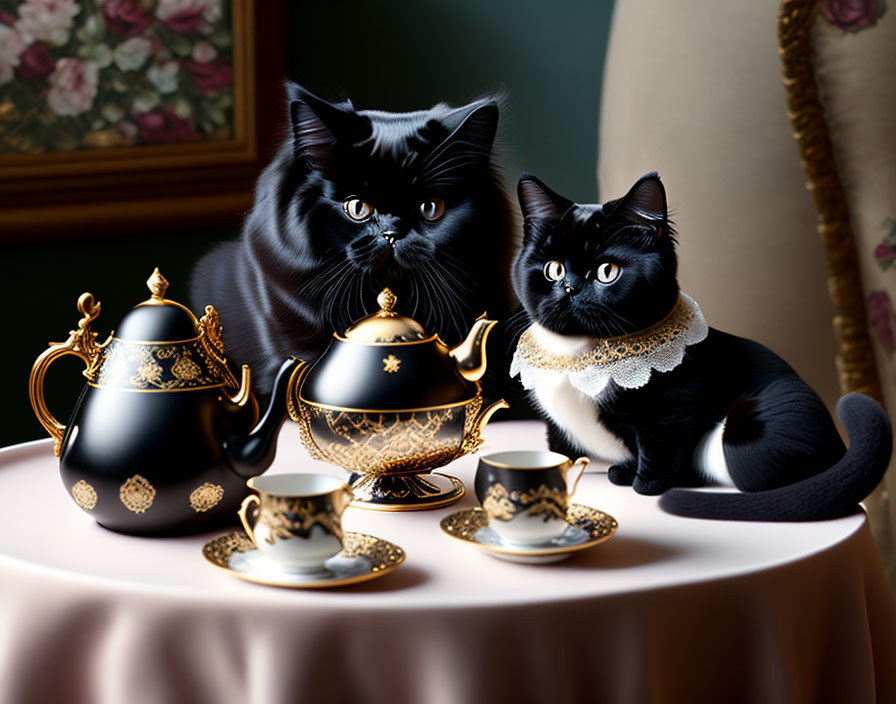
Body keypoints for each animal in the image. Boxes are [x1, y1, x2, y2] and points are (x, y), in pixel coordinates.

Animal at [512, 173, 888, 520]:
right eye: (553, 269)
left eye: (608, 271)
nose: (570, 288)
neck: (580, 354)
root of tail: (837, 448)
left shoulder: (673, 405)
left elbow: (660, 445)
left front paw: (645, 484)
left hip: (742, 428)